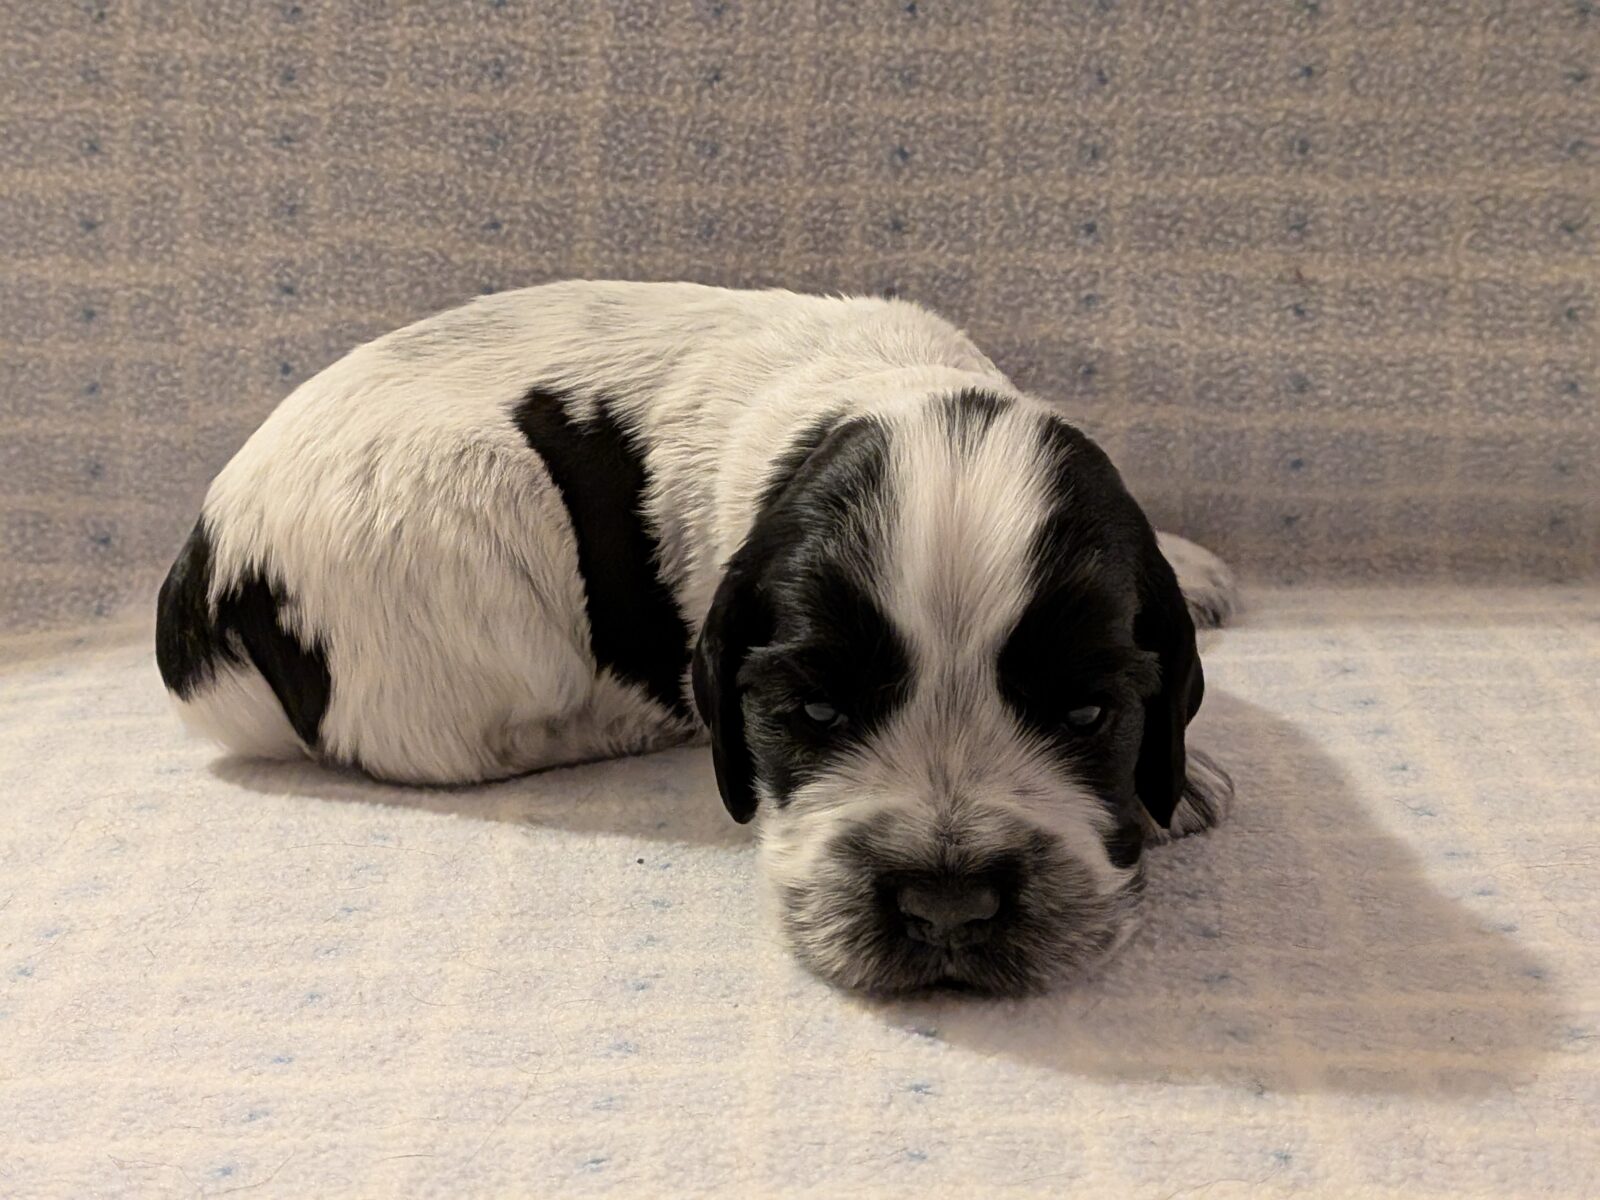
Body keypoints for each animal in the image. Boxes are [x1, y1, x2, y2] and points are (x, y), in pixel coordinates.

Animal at [156, 280, 1238, 995]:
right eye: (812, 711)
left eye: (1089, 714)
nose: (947, 904)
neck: (885, 381)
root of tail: (202, 575)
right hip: (465, 518)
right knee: (435, 745)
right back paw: (625, 719)